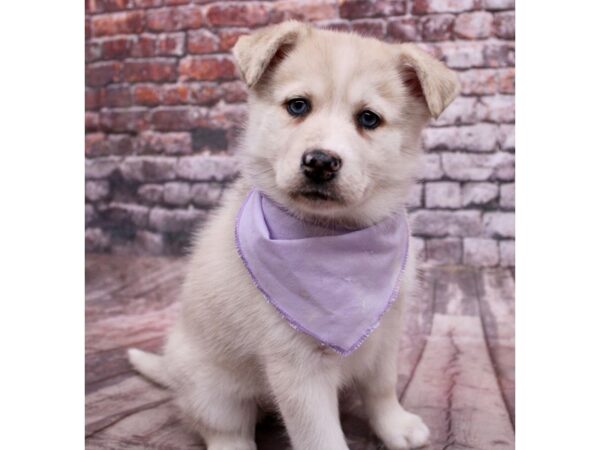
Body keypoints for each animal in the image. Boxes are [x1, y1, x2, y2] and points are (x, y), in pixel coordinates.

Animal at [127, 20, 460, 450]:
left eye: (369, 119)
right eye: (298, 106)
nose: (320, 162)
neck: (334, 238)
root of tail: (170, 367)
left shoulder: (385, 333)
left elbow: (382, 387)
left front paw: (395, 426)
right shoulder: (297, 365)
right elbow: (320, 436)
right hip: (212, 390)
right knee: (225, 429)